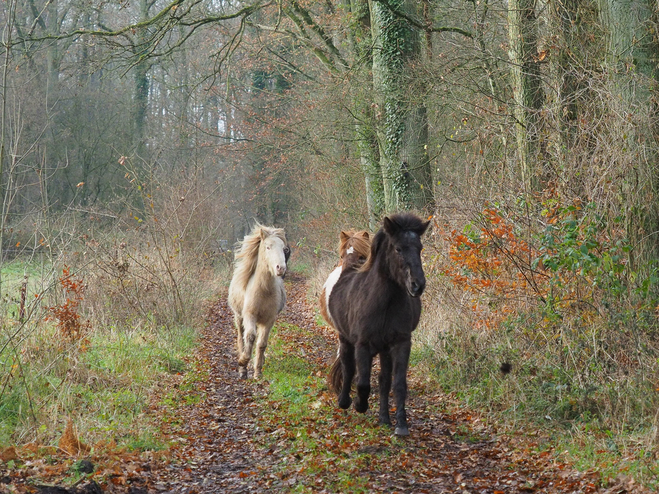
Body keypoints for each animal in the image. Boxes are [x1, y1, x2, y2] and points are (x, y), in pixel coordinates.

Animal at [328, 212, 430, 436]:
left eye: (419, 248)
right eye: (398, 248)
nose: (417, 285)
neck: (384, 302)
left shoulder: (401, 343)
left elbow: (397, 384)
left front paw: (401, 424)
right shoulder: (362, 345)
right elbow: (362, 382)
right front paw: (360, 404)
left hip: (384, 349)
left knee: (384, 381)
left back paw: (384, 417)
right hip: (345, 339)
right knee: (348, 368)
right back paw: (344, 401)